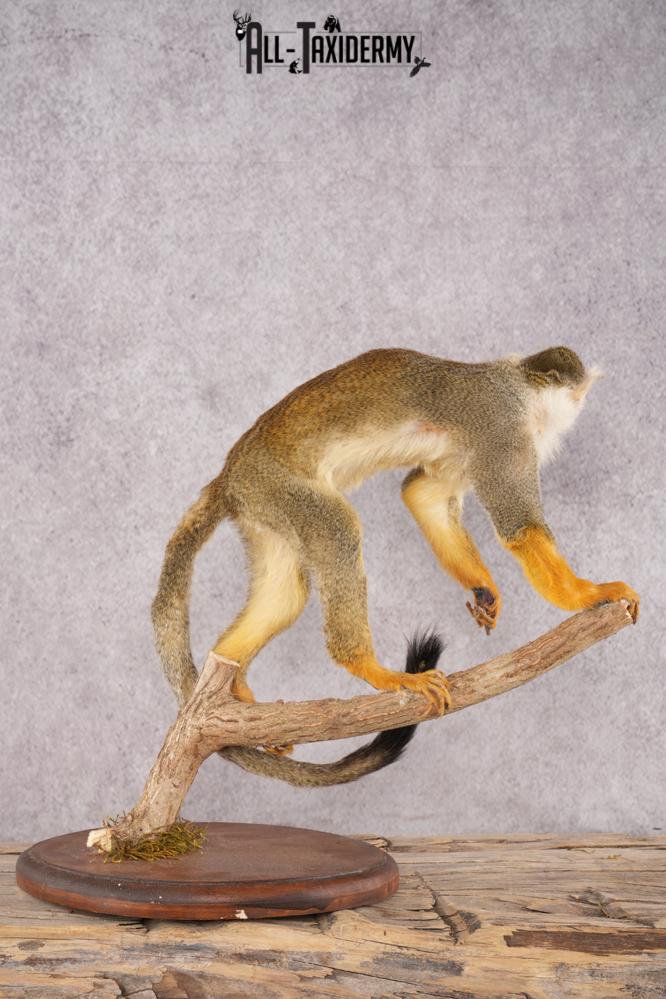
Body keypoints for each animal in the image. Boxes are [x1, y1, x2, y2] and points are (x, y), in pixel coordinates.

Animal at [151, 346, 639, 786]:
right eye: (574, 393)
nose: (576, 411)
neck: (516, 387)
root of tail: (228, 474)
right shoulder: (502, 430)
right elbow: (518, 527)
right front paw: (589, 595)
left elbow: (423, 495)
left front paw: (483, 587)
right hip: (275, 484)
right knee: (339, 530)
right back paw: (370, 668)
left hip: (262, 508)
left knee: (286, 594)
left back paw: (233, 677)